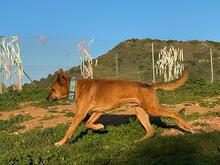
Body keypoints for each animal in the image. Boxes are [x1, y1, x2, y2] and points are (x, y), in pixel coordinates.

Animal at [47, 69, 191, 146]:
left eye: (52, 89)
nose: (46, 99)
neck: (75, 87)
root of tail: (150, 85)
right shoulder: (98, 112)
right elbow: (88, 123)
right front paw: (99, 127)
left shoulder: (80, 114)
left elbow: (70, 130)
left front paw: (60, 143)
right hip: (140, 112)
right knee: (150, 131)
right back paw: (138, 141)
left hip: (153, 109)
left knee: (174, 113)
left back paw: (188, 127)